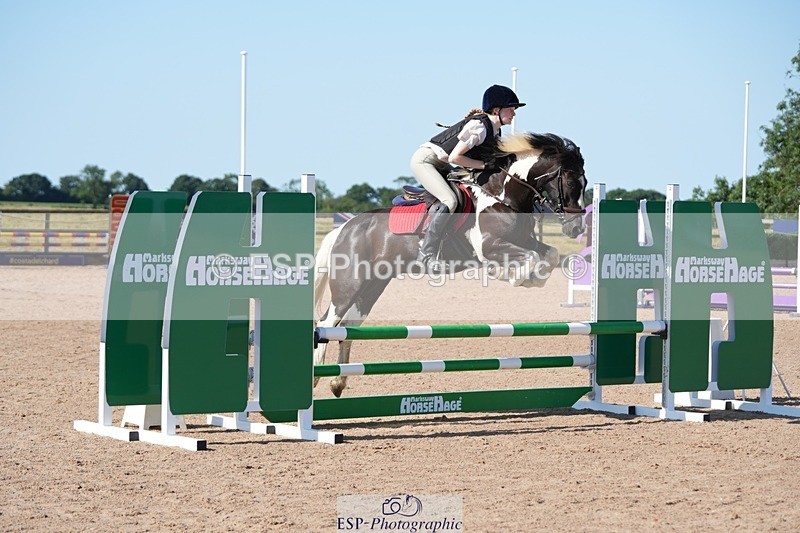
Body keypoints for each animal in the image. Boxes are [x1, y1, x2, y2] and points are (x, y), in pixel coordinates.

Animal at [314, 132, 587, 397]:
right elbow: (528, 259)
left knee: (347, 327)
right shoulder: (489, 246)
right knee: (327, 323)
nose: (576, 229)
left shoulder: (523, 240)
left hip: (372, 286)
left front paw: (531, 278)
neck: (502, 196)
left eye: (585, 184)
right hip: (349, 284)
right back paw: (317, 375)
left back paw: (338, 382)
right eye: (571, 183)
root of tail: (345, 228)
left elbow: (549, 255)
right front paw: (510, 275)